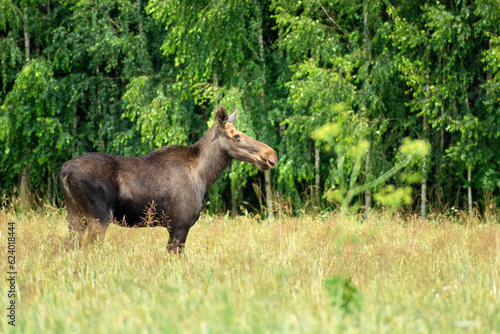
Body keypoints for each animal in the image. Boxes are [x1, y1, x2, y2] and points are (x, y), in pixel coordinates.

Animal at [61, 106, 278, 253]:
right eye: (237, 136)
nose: (271, 155)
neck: (204, 176)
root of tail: (64, 171)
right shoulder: (179, 226)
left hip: (75, 214)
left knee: (70, 247)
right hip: (99, 216)